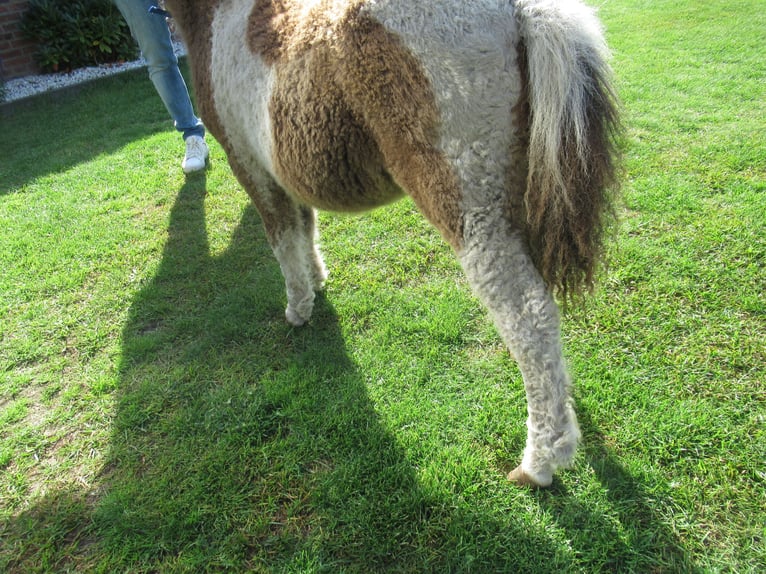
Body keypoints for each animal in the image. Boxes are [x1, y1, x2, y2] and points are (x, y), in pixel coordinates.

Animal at [163, 0, 620, 488]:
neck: (218, 17)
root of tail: (523, 10)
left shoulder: (251, 166)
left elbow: (283, 239)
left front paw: (298, 308)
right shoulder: (284, 171)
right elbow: (306, 227)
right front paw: (318, 280)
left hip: (469, 198)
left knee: (528, 316)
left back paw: (540, 461)